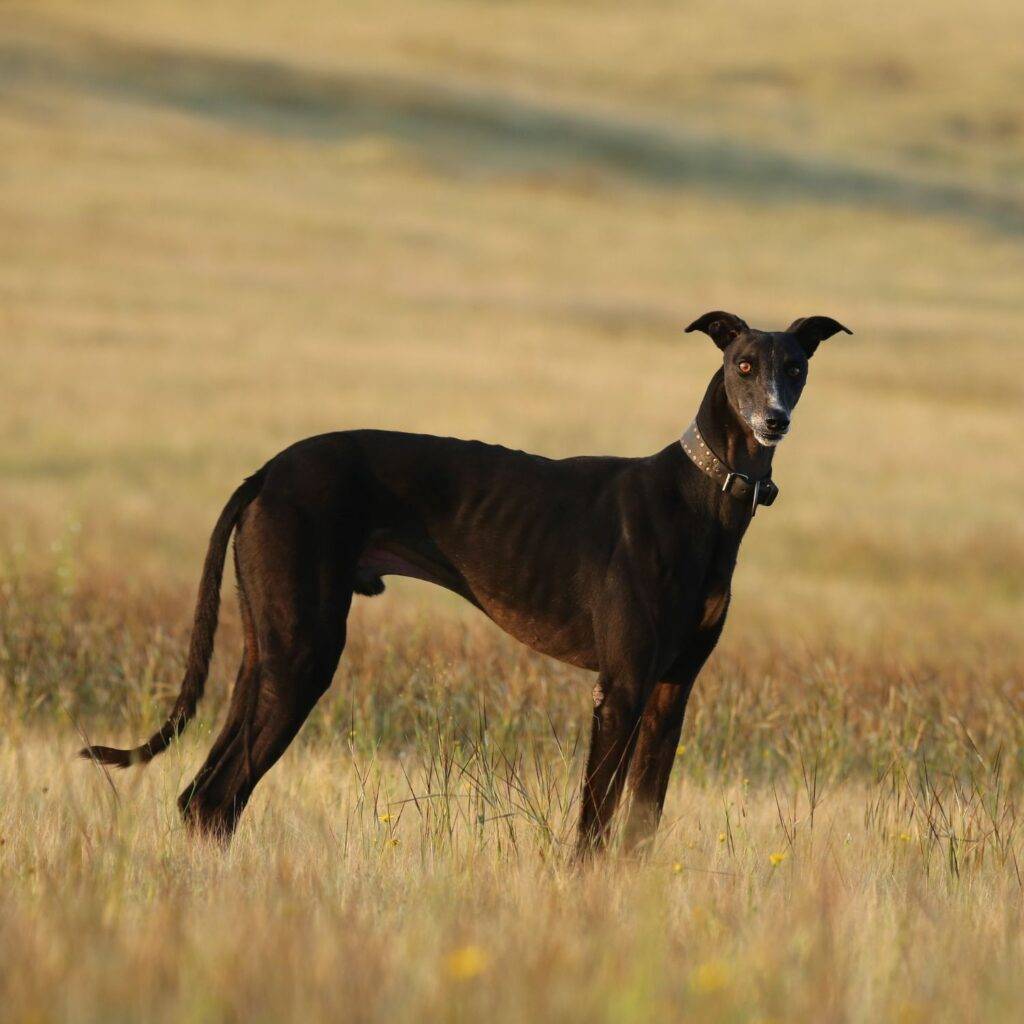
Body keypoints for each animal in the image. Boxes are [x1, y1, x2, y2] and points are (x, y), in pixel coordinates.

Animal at [79, 307, 847, 851]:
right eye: (743, 364)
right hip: (302, 655)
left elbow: (638, 833)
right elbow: (593, 831)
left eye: (796, 367)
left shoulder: (671, 691)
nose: (774, 419)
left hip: (265, 653)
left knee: (203, 801)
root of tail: (267, 471)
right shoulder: (621, 688)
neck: (704, 496)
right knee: (216, 799)